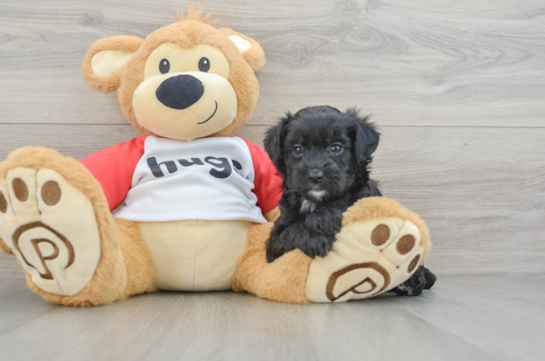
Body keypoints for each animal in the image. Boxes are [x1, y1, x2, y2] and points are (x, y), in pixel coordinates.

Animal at [262, 106, 380, 262]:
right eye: (297, 149)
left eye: (336, 148)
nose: (315, 176)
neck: (314, 201)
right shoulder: (275, 238)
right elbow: (286, 233)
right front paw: (316, 240)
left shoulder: (364, 195)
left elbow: (346, 199)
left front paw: (322, 218)